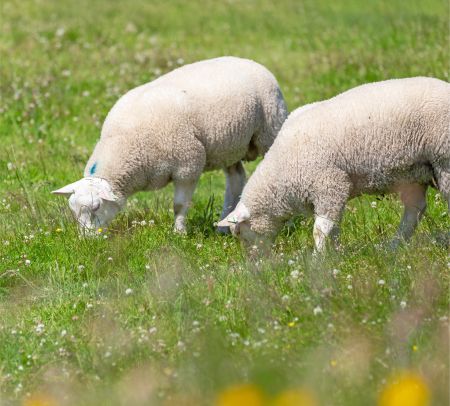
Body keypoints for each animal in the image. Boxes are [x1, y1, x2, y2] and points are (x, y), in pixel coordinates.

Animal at [52, 56, 288, 234]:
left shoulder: (187, 165)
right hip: (229, 147)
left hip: (270, 128)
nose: (87, 241)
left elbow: (179, 205)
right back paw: (223, 226)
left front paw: (179, 233)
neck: (125, 143)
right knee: (236, 179)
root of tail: (249, 61)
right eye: (73, 210)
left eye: (96, 207)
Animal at [218, 77, 450, 252]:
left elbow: (321, 230)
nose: (255, 265)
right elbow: (334, 229)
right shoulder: (330, 194)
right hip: (416, 173)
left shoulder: (330, 186)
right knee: (415, 210)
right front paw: (335, 255)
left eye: (241, 233)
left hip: (443, 162)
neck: (282, 172)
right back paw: (393, 246)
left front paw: (318, 261)